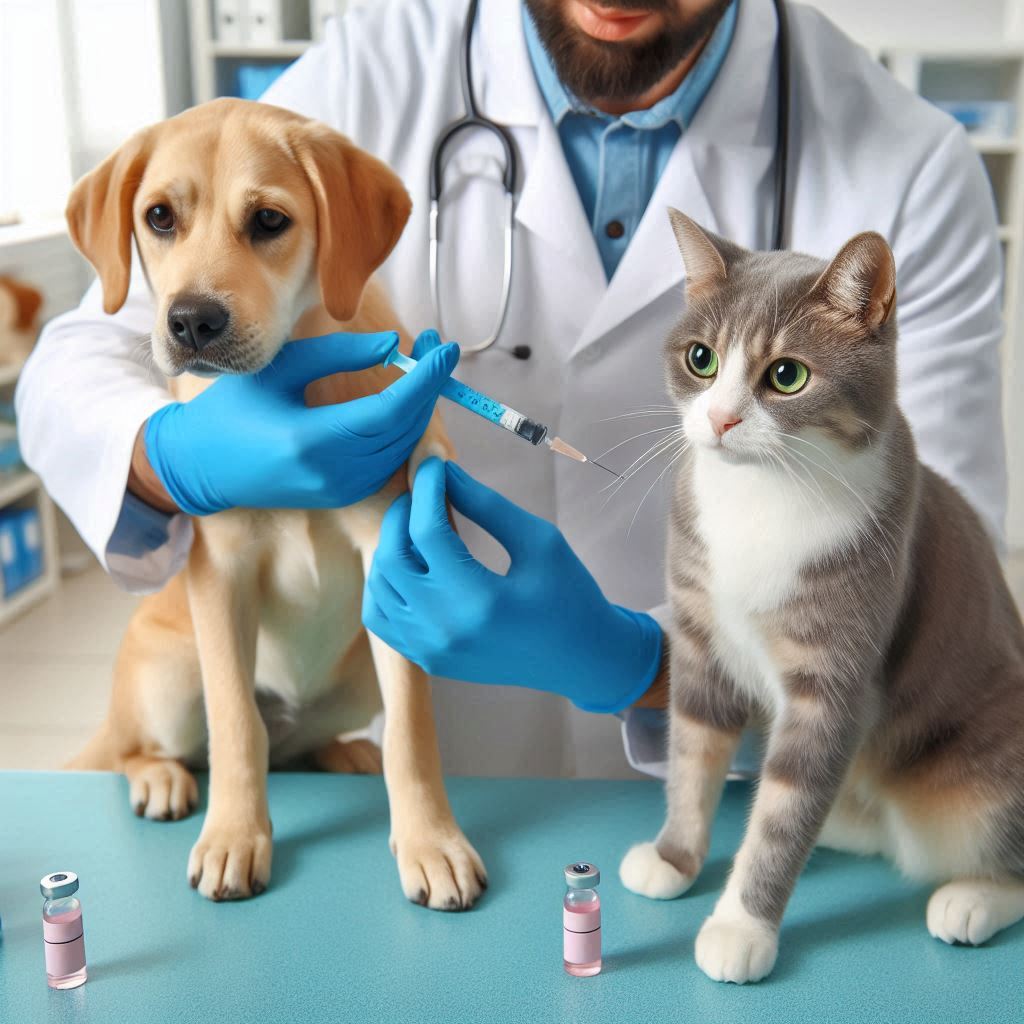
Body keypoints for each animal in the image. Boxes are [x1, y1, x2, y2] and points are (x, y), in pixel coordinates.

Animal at [64, 99, 487, 909]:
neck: (288, 387)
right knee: (149, 747)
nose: (191, 321)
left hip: (359, 670)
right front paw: (235, 836)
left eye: (267, 221)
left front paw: (431, 841)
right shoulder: (221, 574)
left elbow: (411, 732)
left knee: (303, 745)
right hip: (168, 677)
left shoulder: (394, 560)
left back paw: (344, 754)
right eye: (158, 217)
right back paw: (159, 777)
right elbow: (236, 728)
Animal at [614, 209, 1024, 983]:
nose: (719, 420)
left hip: (987, 770)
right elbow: (691, 755)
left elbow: (786, 810)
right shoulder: (701, 642)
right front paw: (675, 857)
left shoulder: (834, 678)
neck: (763, 494)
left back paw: (972, 898)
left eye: (787, 375)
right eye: (701, 359)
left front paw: (741, 925)